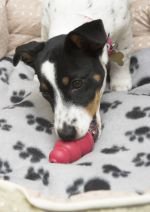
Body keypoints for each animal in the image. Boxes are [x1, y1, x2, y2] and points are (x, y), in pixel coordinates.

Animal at [12, 0, 132, 142]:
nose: (65, 135)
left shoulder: (125, 29)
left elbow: (123, 56)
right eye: (45, 93)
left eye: (77, 84)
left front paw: (121, 82)